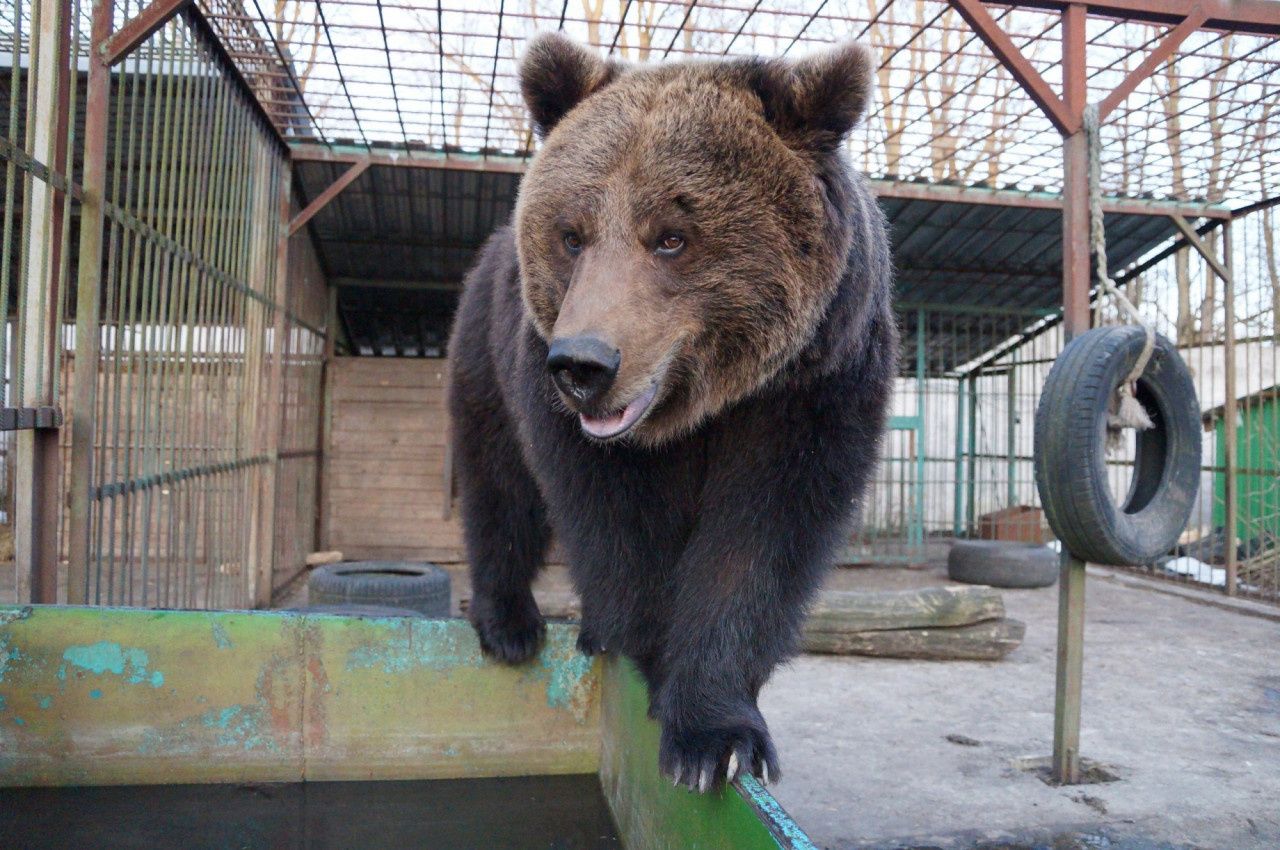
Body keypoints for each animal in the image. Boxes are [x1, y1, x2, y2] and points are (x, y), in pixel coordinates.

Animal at [445, 31, 896, 788]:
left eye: (673, 236)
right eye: (572, 234)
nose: (584, 365)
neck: (700, 405)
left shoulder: (810, 388)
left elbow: (761, 539)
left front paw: (717, 734)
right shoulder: (574, 420)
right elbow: (619, 533)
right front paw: (655, 679)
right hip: (485, 350)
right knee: (498, 482)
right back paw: (510, 623)